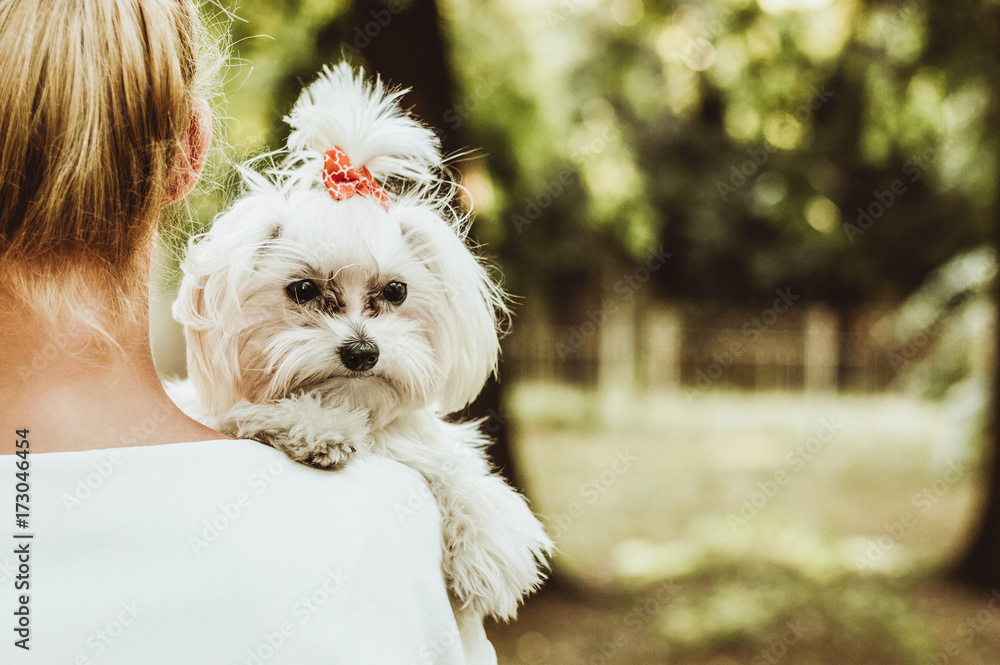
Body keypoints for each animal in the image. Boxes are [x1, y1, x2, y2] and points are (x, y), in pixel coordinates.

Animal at [167, 65, 552, 620]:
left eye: (395, 291)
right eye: (303, 290)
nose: (362, 353)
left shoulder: (412, 439)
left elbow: (452, 463)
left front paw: (487, 538)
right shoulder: (218, 413)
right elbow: (257, 411)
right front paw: (319, 426)